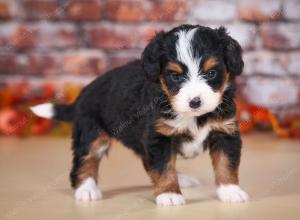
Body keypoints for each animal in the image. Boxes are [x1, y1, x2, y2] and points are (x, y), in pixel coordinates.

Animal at [31, 24, 250, 205]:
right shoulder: (158, 136)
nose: (195, 102)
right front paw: (169, 194)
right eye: (175, 75)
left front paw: (230, 191)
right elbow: (163, 167)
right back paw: (86, 189)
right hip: (92, 133)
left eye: (211, 73)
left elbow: (226, 163)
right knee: (85, 160)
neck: (194, 116)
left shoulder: (225, 131)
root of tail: (84, 92)